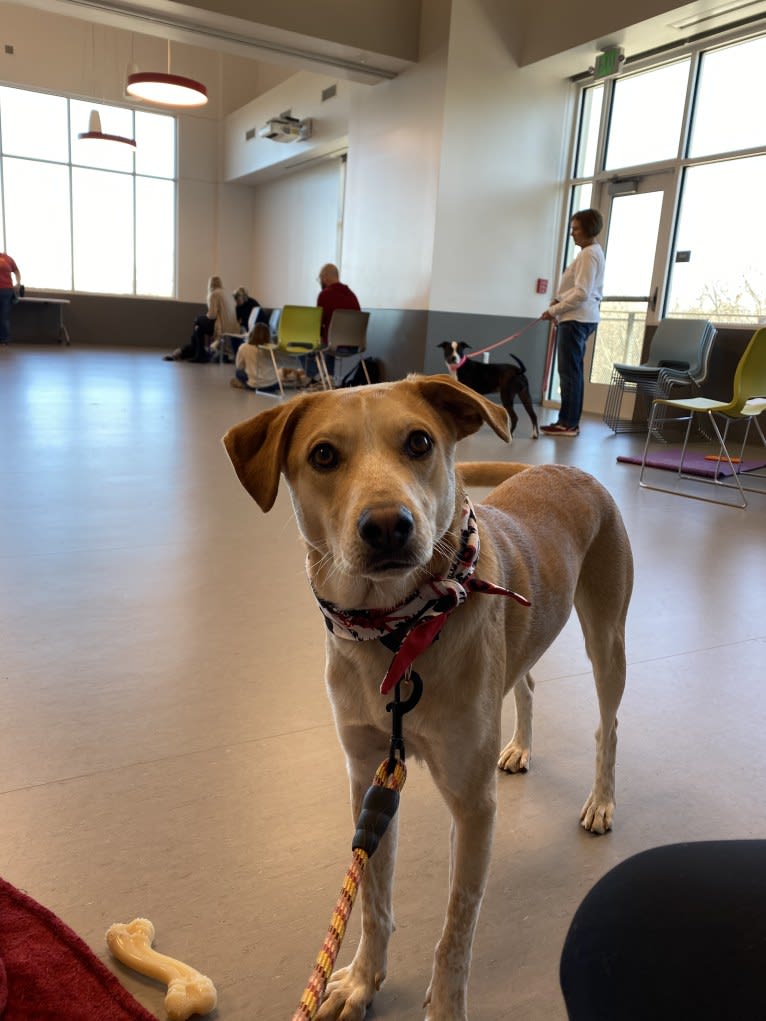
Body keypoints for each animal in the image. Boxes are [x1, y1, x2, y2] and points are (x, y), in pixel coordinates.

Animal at [223, 375, 637, 1021]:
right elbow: (372, 898)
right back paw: (520, 747)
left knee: (608, 724)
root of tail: (572, 470)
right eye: (323, 455)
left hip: (606, 637)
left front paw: (444, 1006)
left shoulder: (473, 807)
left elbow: (456, 928)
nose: (388, 525)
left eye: (419, 441)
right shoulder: (370, 779)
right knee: (526, 682)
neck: (397, 634)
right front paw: (364, 980)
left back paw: (601, 802)